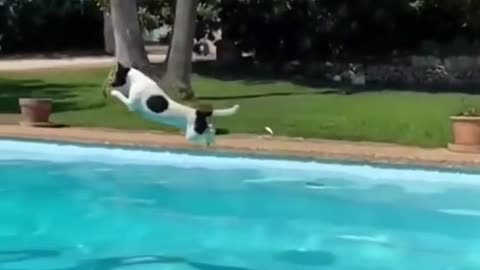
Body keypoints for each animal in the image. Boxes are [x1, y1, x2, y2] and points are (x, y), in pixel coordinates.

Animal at [108, 62, 237, 144]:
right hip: (197, 130)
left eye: (116, 75)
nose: (111, 84)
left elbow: (120, 95)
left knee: (207, 133)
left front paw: (113, 92)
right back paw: (211, 140)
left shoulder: (130, 104)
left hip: (192, 135)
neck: (137, 79)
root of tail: (199, 112)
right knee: (210, 129)